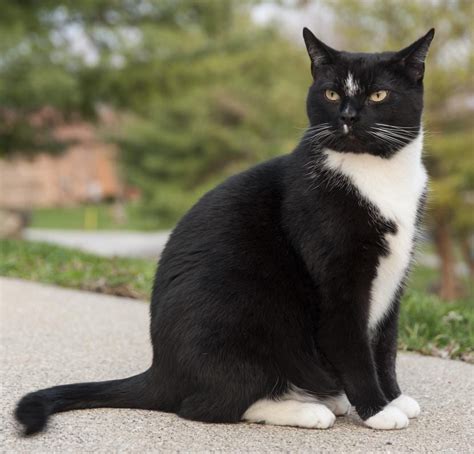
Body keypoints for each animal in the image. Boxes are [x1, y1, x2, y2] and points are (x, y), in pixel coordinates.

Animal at [15, 26, 434, 434]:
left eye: (379, 94)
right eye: (331, 93)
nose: (348, 116)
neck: (377, 175)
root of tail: (161, 371)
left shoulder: (395, 277)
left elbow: (385, 344)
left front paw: (394, 398)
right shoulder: (338, 280)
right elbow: (353, 346)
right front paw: (377, 410)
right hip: (242, 319)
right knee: (207, 405)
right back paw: (306, 409)